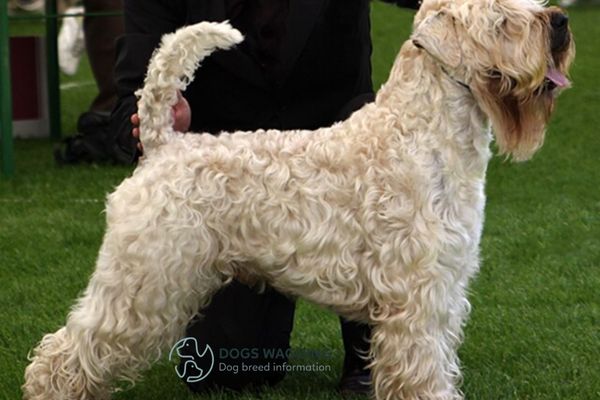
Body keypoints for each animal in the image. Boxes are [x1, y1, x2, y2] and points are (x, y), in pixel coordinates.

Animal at [23, 0, 576, 398]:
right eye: (501, 20)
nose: (561, 21)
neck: (419, 135)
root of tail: (162, 144)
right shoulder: (418, 296)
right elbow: (423, 371)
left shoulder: (440, 289)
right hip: (144, 282)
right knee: (64, 352)